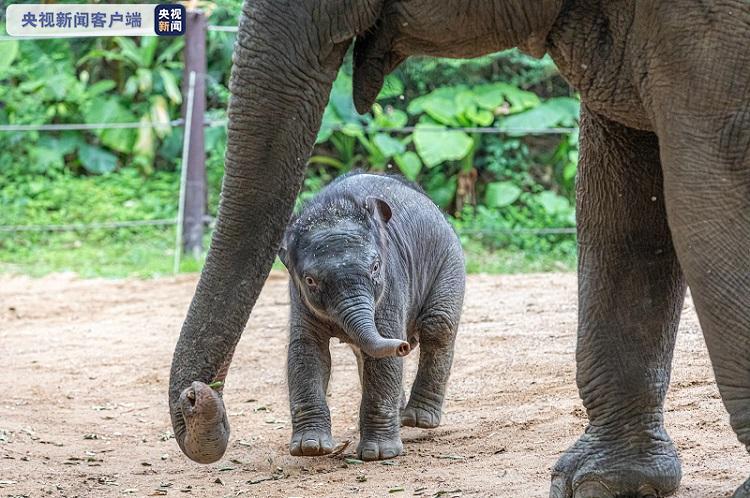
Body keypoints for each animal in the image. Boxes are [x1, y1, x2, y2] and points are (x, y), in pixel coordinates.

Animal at [282, 173, 468, 462]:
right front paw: (309, 449)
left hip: (450, 260)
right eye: (310, 280)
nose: (403, 345)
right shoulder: (299, 297)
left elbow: (383, 357)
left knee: (438, 327)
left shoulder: (391, 283)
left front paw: (379, 455)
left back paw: (418, 420)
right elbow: (307, 351)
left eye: (376, 267)